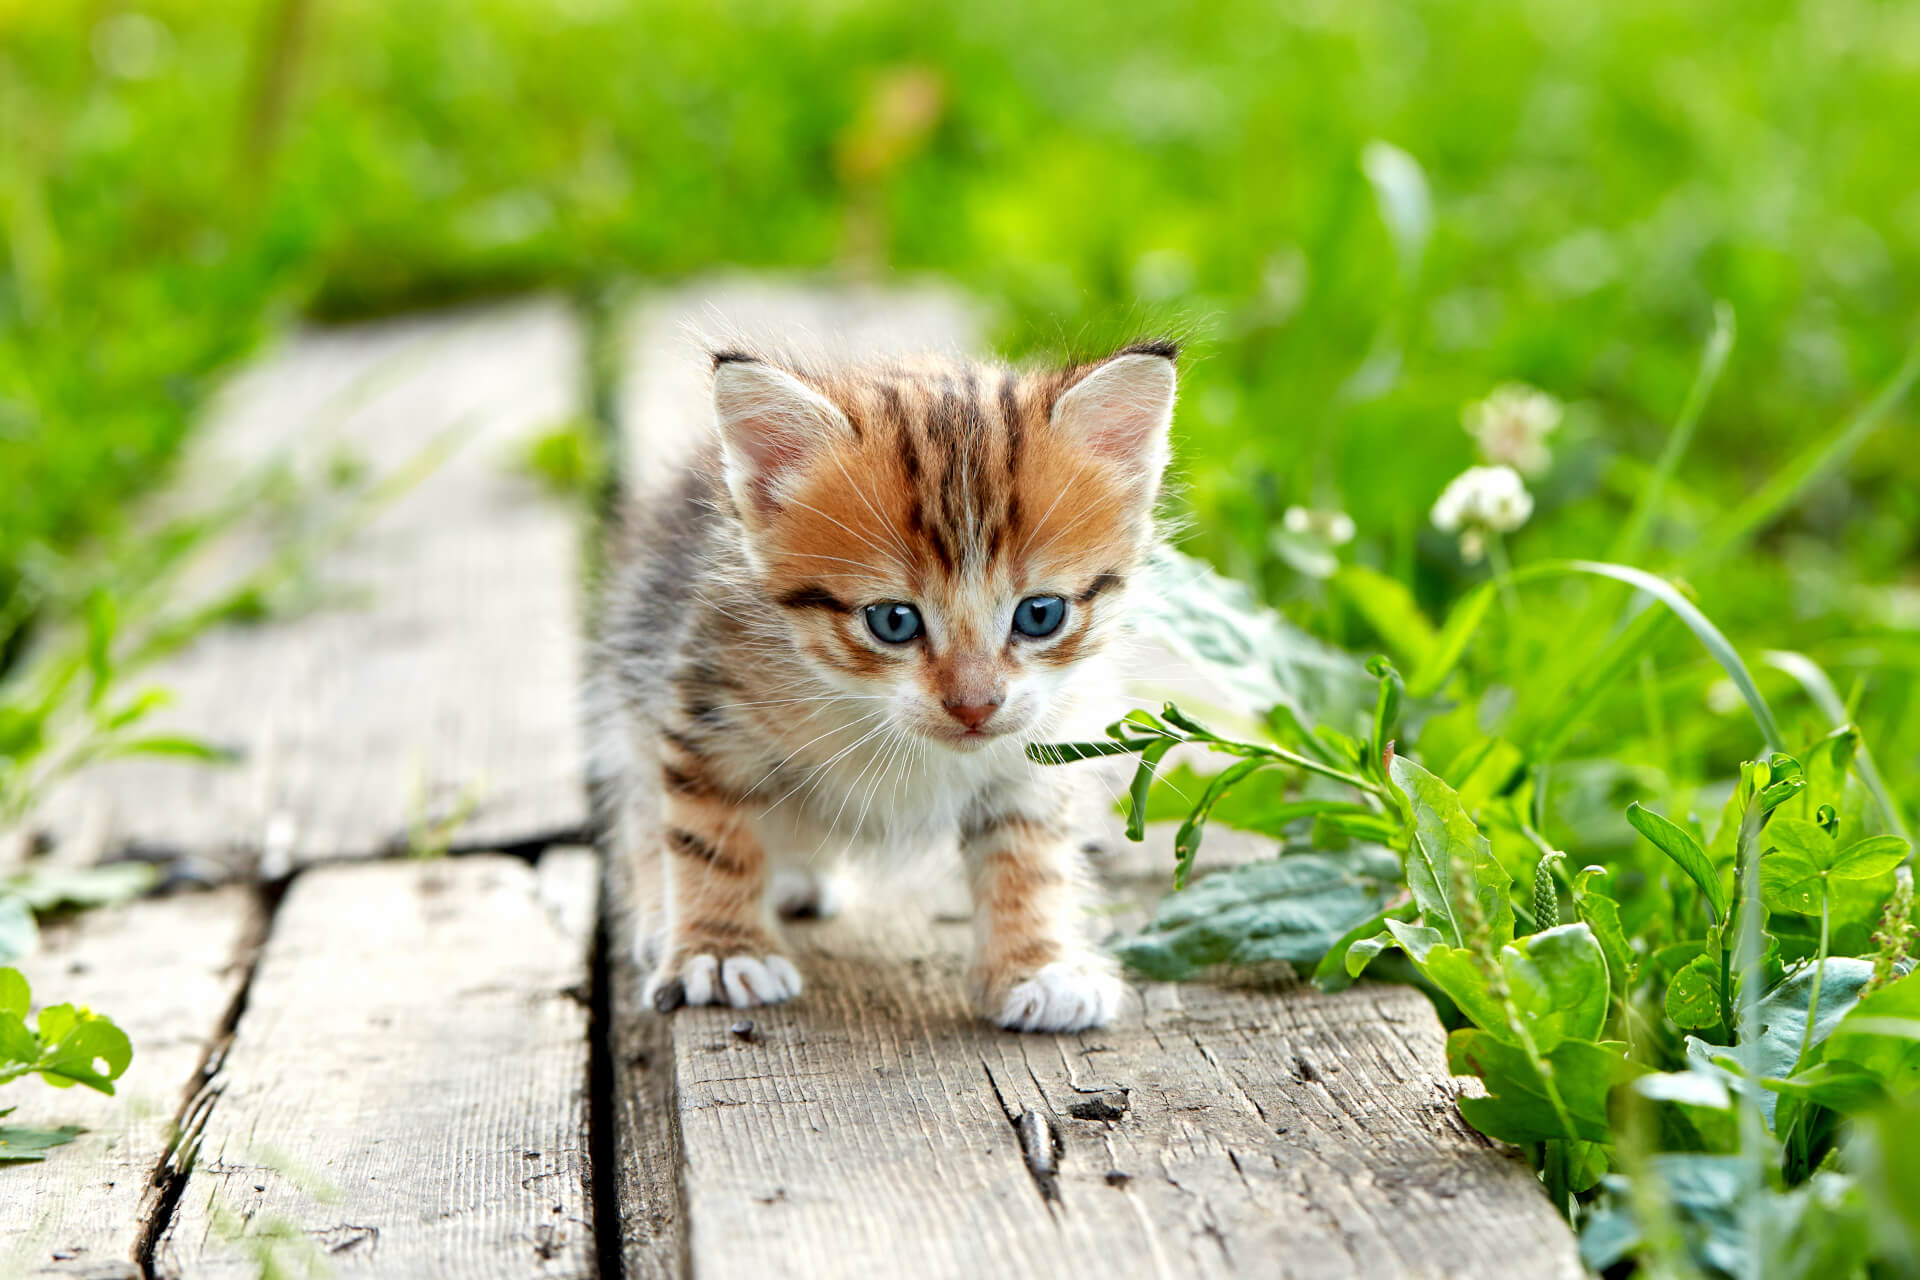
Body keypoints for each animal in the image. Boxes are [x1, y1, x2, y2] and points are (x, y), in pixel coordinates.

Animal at [591, 337, 1175, 1028]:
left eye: (1040, 614)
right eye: (893, 621)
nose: (974, 706)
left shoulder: (1034, 748)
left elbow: (1030, 853)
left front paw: (1040, 963)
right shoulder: (708, 704)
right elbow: (707, 834)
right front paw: (720, 950)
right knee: (641, 811)